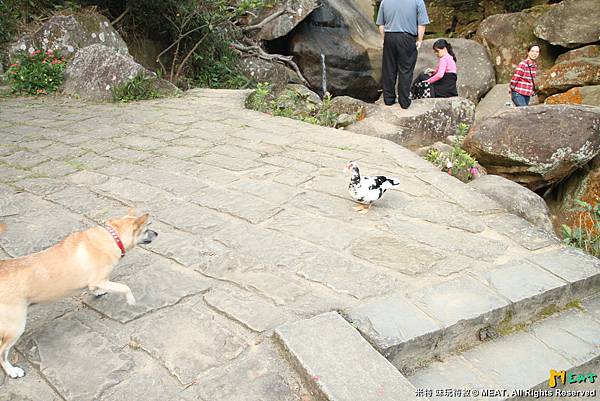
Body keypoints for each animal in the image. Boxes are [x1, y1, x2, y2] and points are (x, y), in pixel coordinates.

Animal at [0, 209, 157, 378]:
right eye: (147, 228)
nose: (157, 233)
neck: (112, 237)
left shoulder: (96, 282)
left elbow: (97, 288)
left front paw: (99, 292)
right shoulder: (100, 279)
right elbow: (124, 287)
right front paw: (131, 300)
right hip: (16, 326)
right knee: (2, 353)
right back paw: (12, 371)